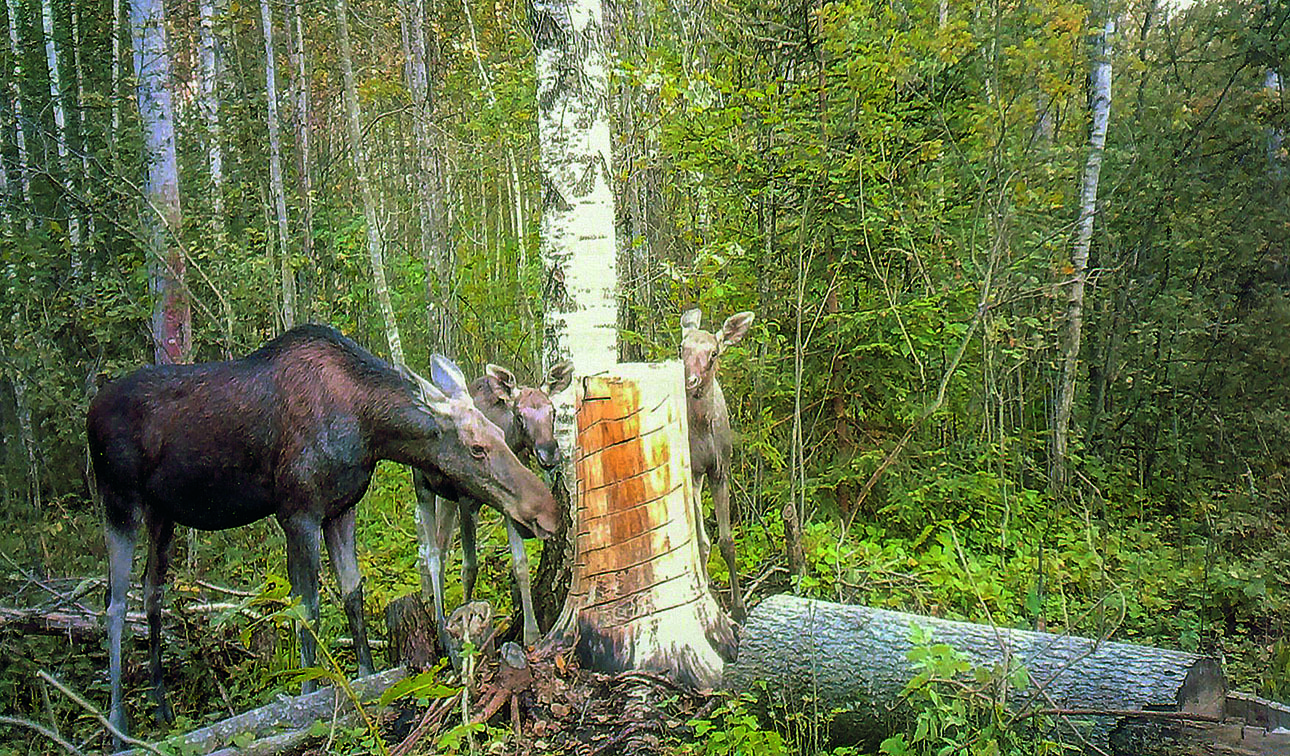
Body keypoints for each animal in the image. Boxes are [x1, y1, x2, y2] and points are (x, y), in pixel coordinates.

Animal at [412, 358, 575, 647]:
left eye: (553, 411)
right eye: (519, 415)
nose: (549, 453)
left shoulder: (512, 506)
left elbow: (520, 565)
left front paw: (531, 633)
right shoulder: (467, 500)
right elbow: (469, 567)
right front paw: (465, 636)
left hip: (447, 499)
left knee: (442, 547)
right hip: (423, 488)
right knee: (431, 554)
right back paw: (441, 626)